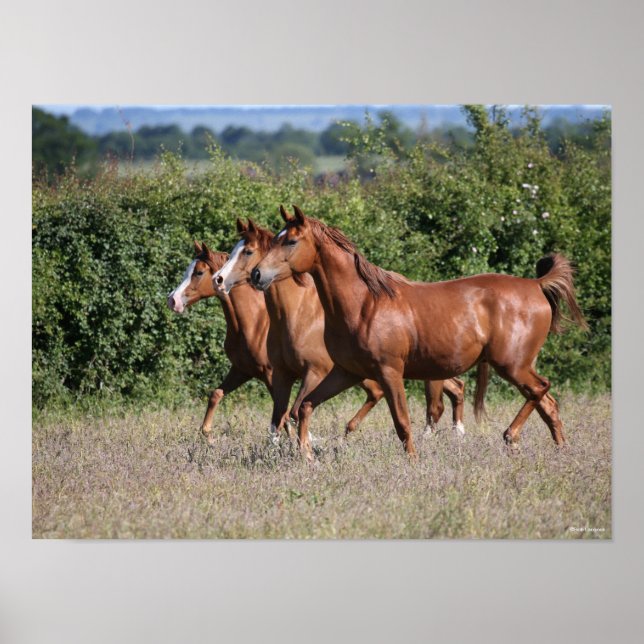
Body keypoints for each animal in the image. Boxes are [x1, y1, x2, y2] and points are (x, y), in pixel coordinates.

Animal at [213, 216, 466, 457]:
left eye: (247, 251)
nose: (219, 279)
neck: (295, 316)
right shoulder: (282, 373)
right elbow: (280, 417)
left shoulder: (314, 372)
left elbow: (292, 412)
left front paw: (306, 445)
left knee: (435, 402)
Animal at [251, 205, 588, 458]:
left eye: (290, 241)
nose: (257, 274)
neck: (364, 304)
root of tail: (536, 285)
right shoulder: (347, 372)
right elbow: (304, 407)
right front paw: (307, 456)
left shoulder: (389, 372)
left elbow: (402, 423)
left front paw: (412, 462)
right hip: (518, 366)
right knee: (548, 402)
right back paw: (559, 450)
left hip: (512, 365)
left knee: (541, 389)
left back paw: (511, 436)